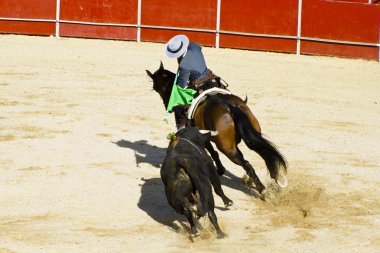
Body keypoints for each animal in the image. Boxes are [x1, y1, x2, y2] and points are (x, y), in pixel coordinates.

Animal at [146, 61, 288, 196]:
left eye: (155, 88)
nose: (168, 107)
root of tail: (229, 106)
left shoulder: (204, 138)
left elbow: (213, 152)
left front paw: (220, 169)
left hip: (227, 149)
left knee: (246, 163)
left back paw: (262, 190)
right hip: (252, 137)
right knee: (263, 153)